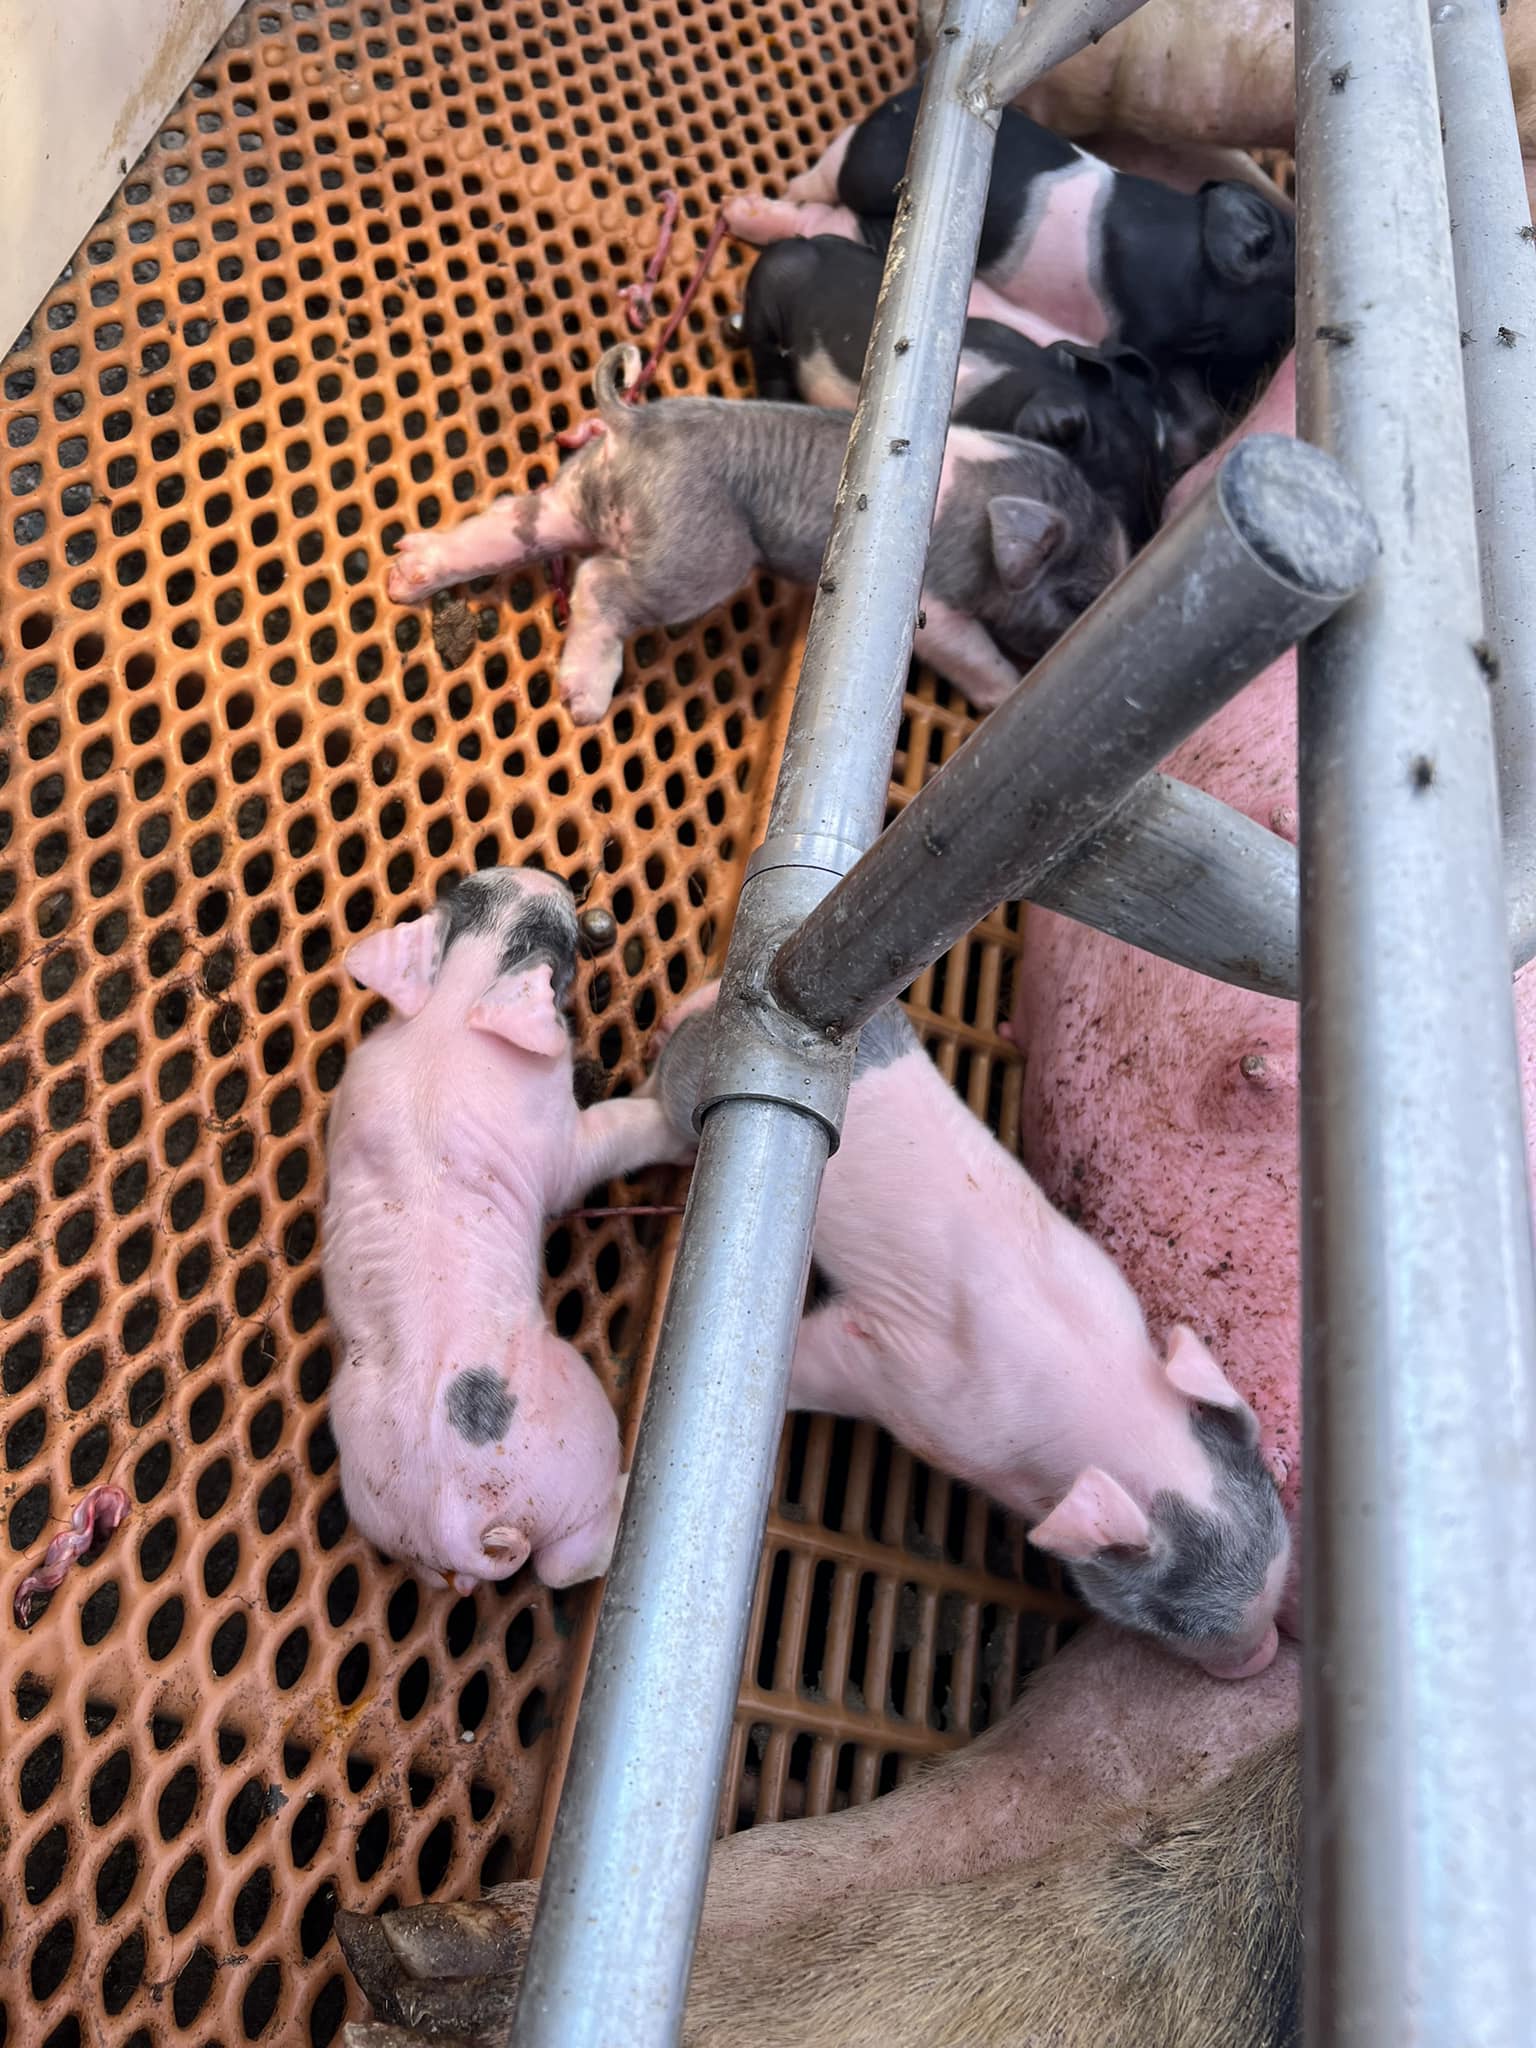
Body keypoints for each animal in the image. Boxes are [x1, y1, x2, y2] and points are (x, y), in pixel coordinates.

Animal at [320, 865, 690, 1595]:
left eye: (469, 886)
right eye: (563, 949)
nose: (545, 877)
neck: (455, 1004)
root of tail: (455, 1522)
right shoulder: (558, 1141)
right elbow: (608, 1139)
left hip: (385, 1514)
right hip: (576, 1423)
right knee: (563, 1561)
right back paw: (630, 1492)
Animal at [385, 343, 1128, 722]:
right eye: (1075, 594)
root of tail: (634, 422)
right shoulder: (937, 606)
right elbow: (973, 652)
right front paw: (1007, 695)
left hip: (582, 494)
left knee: (517, 519)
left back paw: (405, 575)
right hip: (705, 553)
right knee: (598, 581)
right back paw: (585, 704)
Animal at [725, 81, 1296, 407]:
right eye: (1286, 303)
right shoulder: (1144, 322)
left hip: (852, 161)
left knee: (817, 181)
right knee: (819, 205)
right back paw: (747, 211)